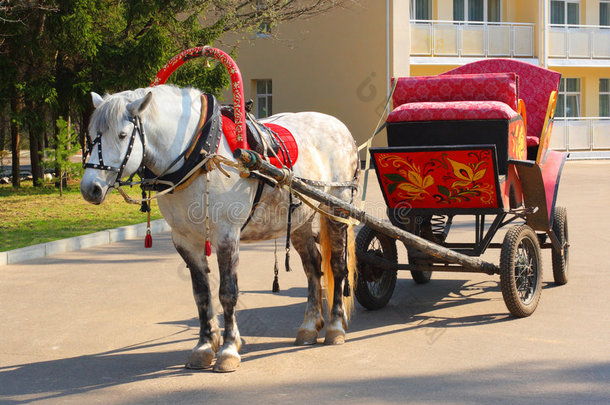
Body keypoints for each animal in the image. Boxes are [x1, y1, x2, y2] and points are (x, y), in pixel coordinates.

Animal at [79, 83, 358, 370]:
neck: (198, 155)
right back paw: (309, 326)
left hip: (337, 207)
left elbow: (227, 293)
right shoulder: (185, 240)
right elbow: (201, 293)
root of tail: (338, 125)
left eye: (122, 135)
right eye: (90, 135)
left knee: (337, 265)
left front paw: (228, 349)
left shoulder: (226, 235)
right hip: (300, 218)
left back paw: (335, 327)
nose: (91, 188)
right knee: (313, 267)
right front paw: (204, 346)